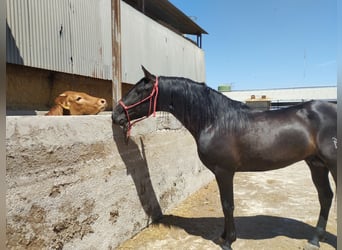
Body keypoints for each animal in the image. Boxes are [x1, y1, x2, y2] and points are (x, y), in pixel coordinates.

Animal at [113, 67, 336, 250]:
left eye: (140, 90)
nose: (115, 115)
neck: (215, 120)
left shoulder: (224, 171)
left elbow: (227, 205)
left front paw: (228, 241)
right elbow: (224, 204)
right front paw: (223, 236)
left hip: (332, 165)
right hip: (316, 164)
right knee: (325, 197)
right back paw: (315, 240)